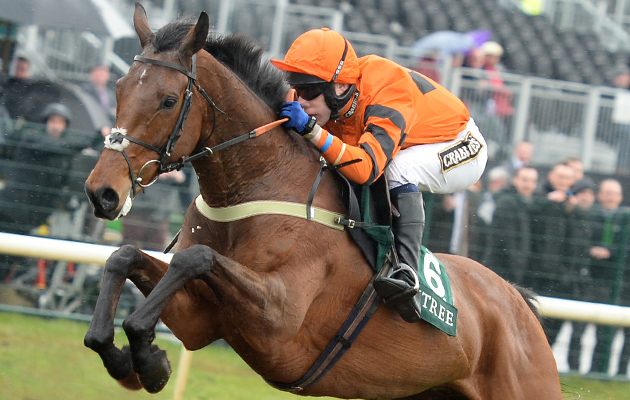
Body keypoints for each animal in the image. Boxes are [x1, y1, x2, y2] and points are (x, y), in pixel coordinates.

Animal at [82, 3, 564, 400]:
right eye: (120, 88)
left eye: (167, 100)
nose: (102, 192)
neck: (261, 184)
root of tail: (519, 305)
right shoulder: (201, 318)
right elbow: (124, 256)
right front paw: (128, 357)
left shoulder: (278, 319)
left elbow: (195, 257)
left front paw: (146, 358)